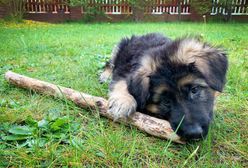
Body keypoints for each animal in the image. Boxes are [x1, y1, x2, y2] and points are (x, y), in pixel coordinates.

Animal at [100, 33, 228, 140]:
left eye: (194, 90)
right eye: (166, 101)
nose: (194, 133)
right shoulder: (124, 70)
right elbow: (121, 82)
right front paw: (123, 101)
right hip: (118, 49)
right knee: (109, 64)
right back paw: (104, 76)